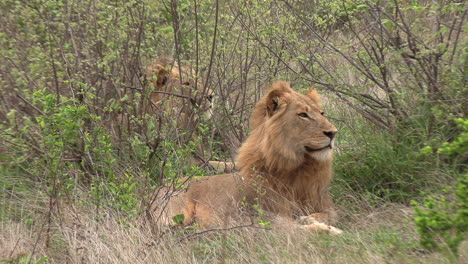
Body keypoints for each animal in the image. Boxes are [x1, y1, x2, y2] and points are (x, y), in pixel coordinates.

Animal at [148, 81, 342, 234]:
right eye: (303, 115)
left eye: (322, 113)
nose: (333, 133)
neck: (299, 167)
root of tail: (156, 189)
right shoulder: (265, 220)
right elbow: (296, 228)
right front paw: (331, 231)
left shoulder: (324, 205)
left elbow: (328, 215)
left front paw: (312, 219)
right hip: (177, 214)